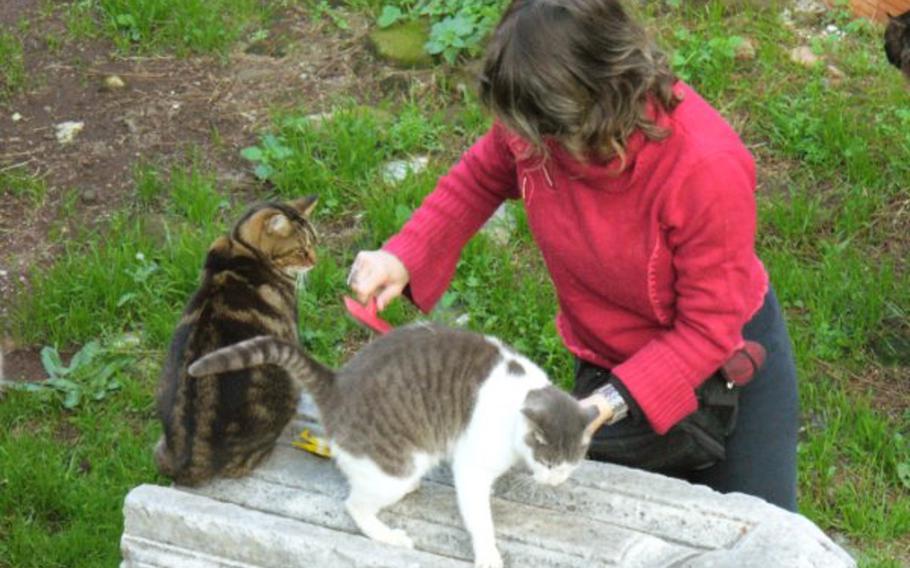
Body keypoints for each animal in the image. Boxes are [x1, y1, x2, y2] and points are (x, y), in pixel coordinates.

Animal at [153, 195, 318, 484]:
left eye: (315, 242)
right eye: (300, 250)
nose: (315, 260)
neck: (241, 247)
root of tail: (192, 463)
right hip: (285, 393)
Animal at [189, 324, 604, 568]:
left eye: (571, 463)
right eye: (548, 461)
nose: (555, 480)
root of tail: (337, 384)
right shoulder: (471, 470)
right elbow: (479, 519)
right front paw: (488, 553)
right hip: (395, 469)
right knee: (354, 505)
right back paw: (389, 535)